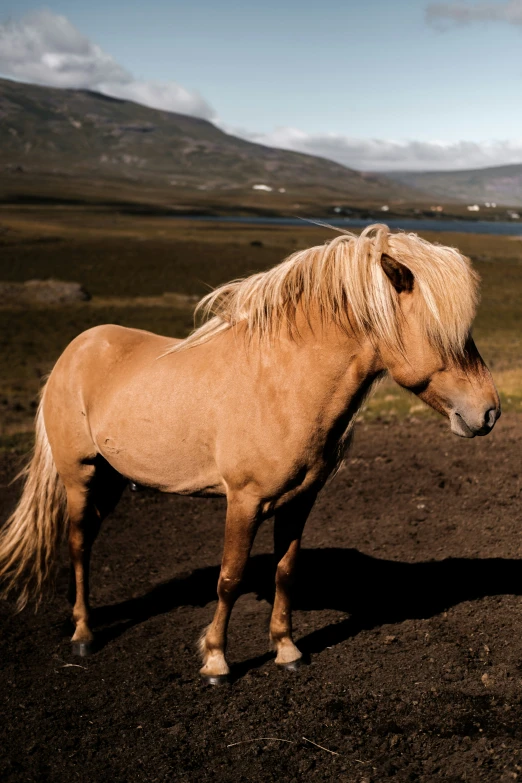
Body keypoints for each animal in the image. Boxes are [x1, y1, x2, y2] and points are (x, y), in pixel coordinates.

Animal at [0, 224, 498, 684]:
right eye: (438, 332)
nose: (489, 412)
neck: (283, 383)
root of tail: (75, 349)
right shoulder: (243, 501)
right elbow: (230, 578)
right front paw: (216, 661)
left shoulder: (300, 501)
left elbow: (286, 572)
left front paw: (287, 649)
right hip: (79, 474)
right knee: (79, 543)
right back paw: (84, 634)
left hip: (112, 478)